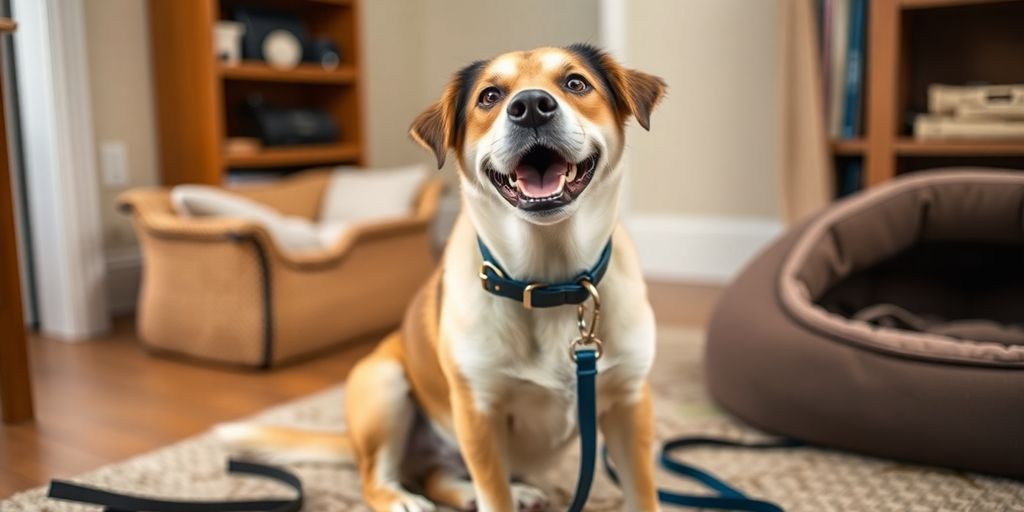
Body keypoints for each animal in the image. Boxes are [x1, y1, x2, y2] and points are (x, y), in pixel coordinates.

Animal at [218, 45, 663, 512]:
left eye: (576, 83)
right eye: (490, 96)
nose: (531, 107)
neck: (549, 283)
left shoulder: (630, 404)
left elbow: (644, 494)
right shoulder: (478, 413)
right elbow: (495, 497)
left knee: (436, 475)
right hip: (385, 382)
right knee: (378, 479)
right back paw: (404, 499)